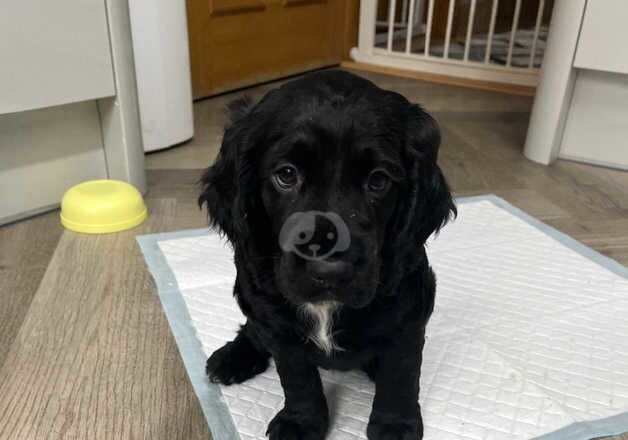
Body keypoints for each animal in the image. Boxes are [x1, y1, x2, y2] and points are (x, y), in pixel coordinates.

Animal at [201, 70, 456, 438]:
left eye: (378, 180)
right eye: (286, 174)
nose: (329, 271)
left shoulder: (408, 311)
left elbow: (401, 372)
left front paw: (395, 423)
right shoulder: (276, 320)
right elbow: (297, 376)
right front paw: (301, 421)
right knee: (252, 328)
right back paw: (233, 357)